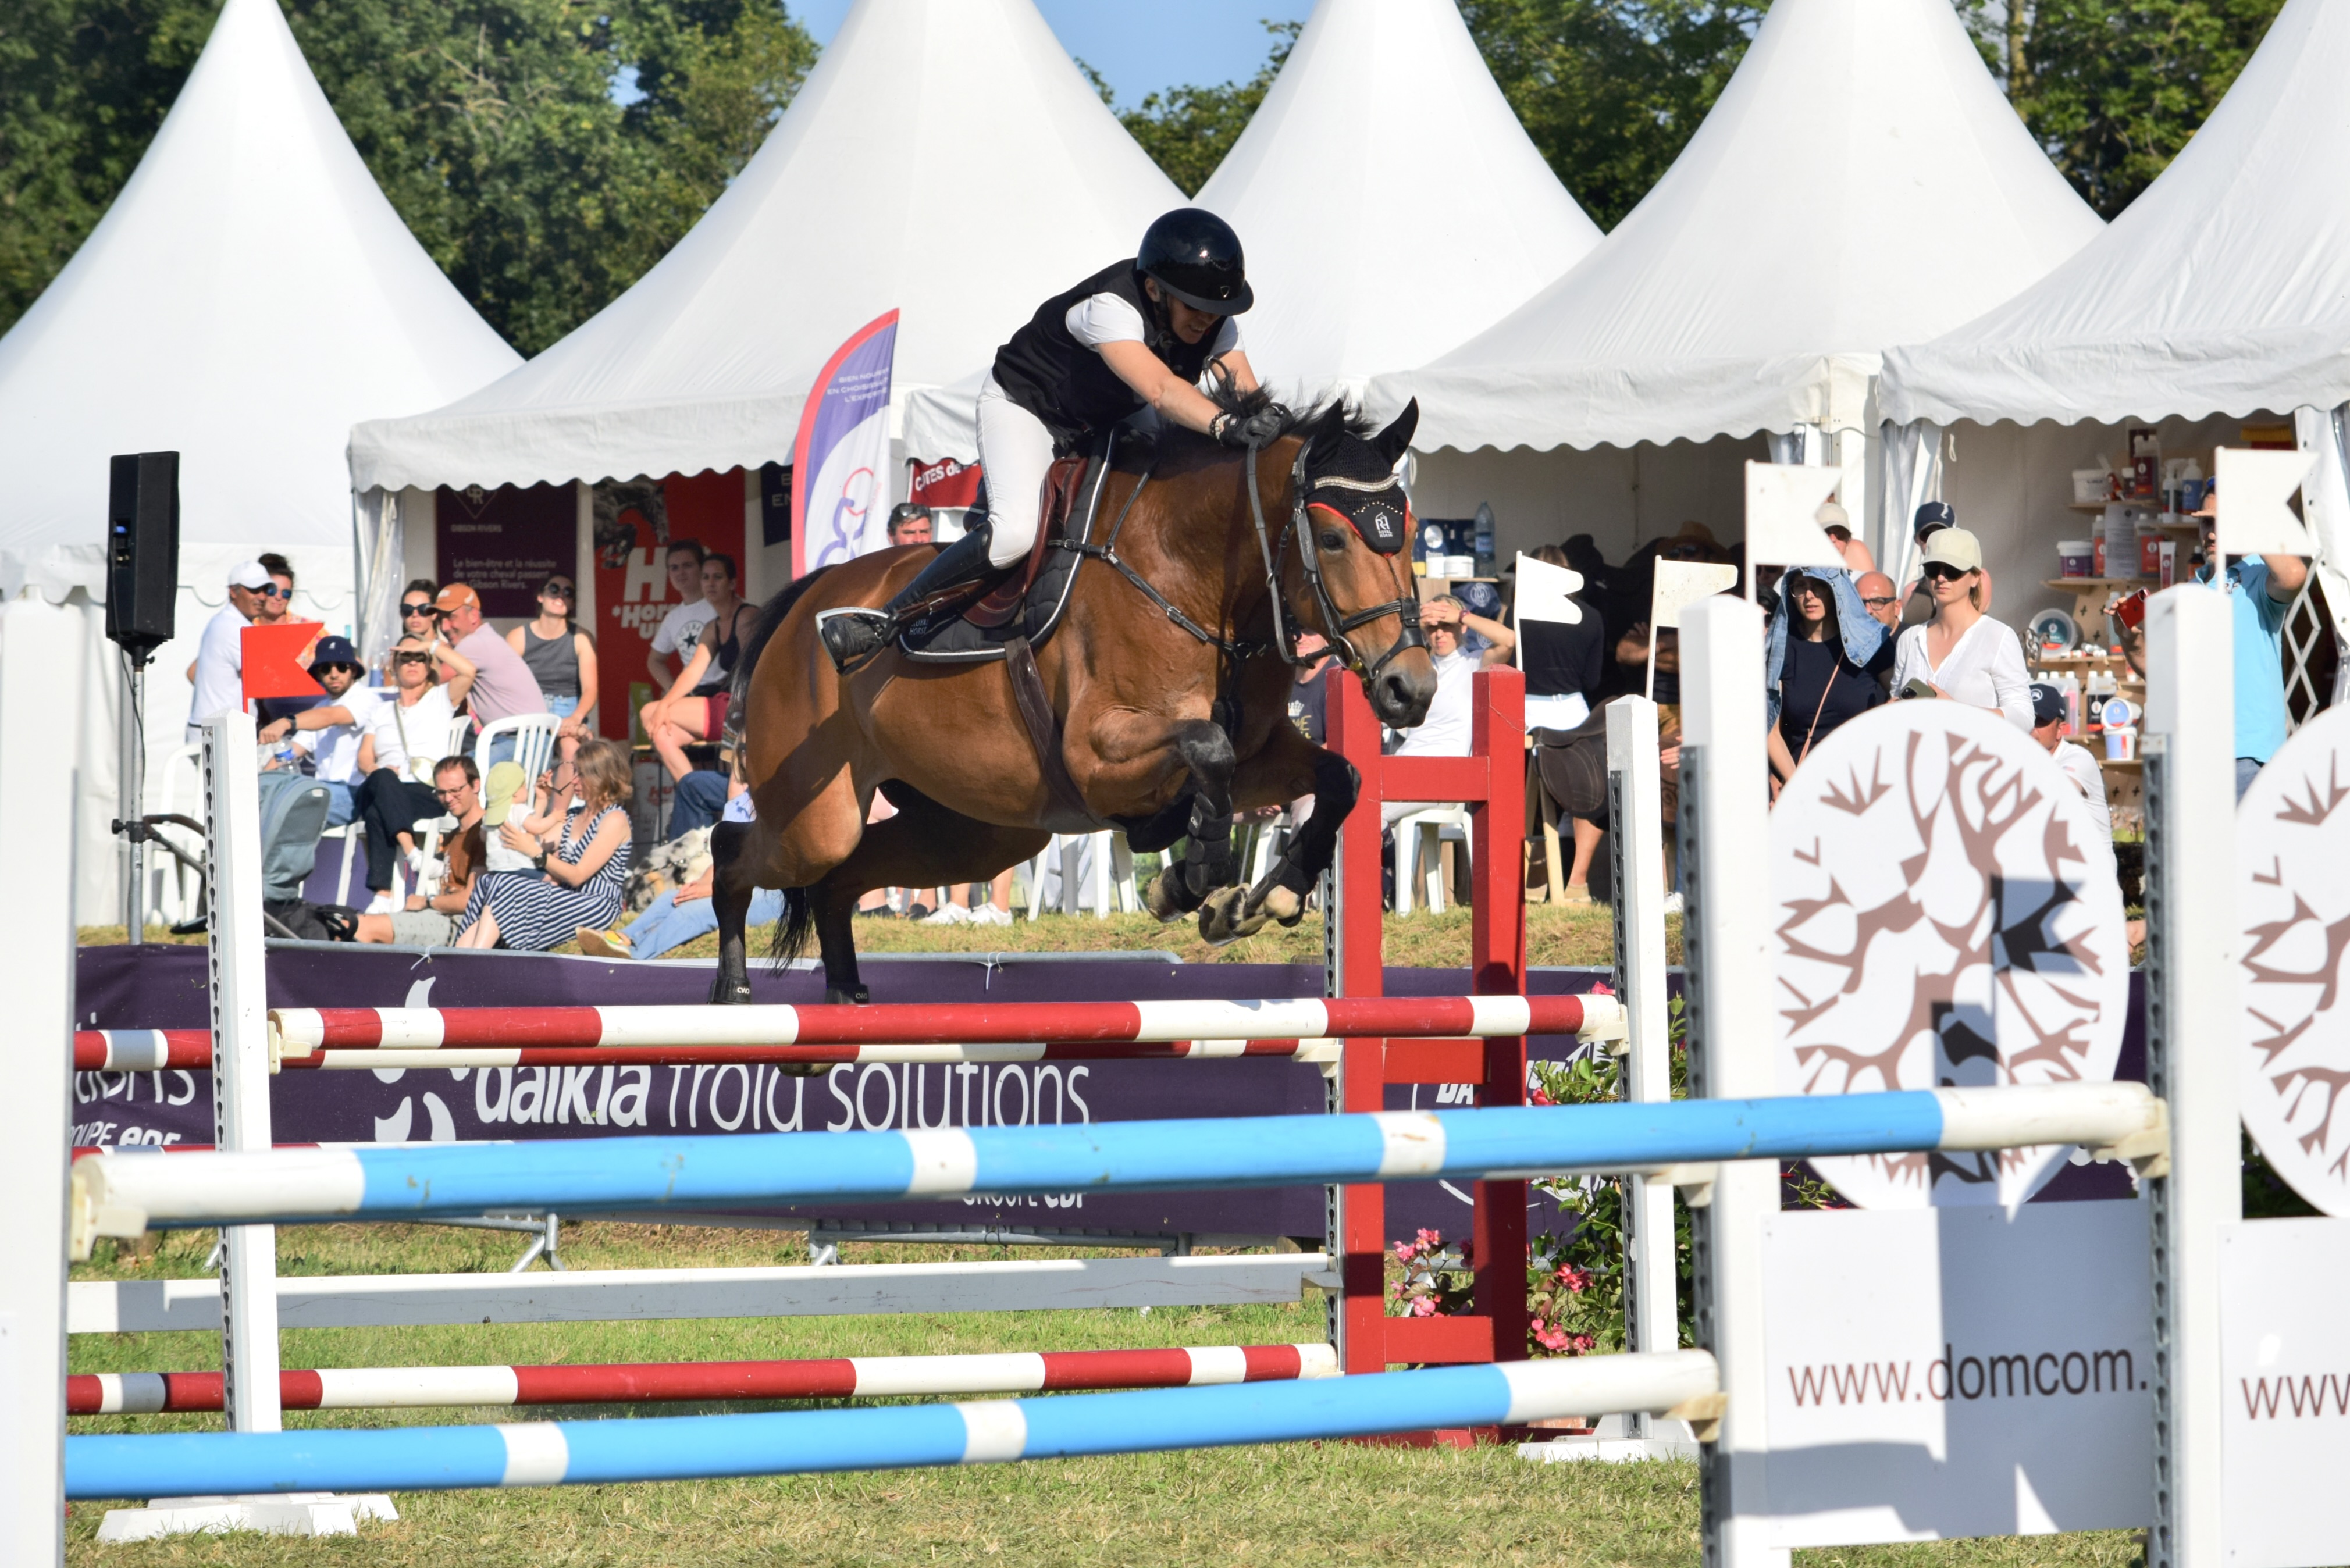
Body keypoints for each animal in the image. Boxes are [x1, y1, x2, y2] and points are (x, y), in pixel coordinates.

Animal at [708, 393, 1438, 1006]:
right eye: (1334, 538)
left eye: (1406, 533)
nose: (1411, 687)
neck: (1196, 578)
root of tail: (805, 600)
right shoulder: (1097, 754)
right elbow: (1207, 748)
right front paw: (1192, 876)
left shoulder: (1262, 754)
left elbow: (1338, 777)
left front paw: (1270, 894)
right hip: (816, 817)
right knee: (735, 848)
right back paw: (734, 989)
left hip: (974, 833)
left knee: (840, 878)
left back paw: (843, 998)